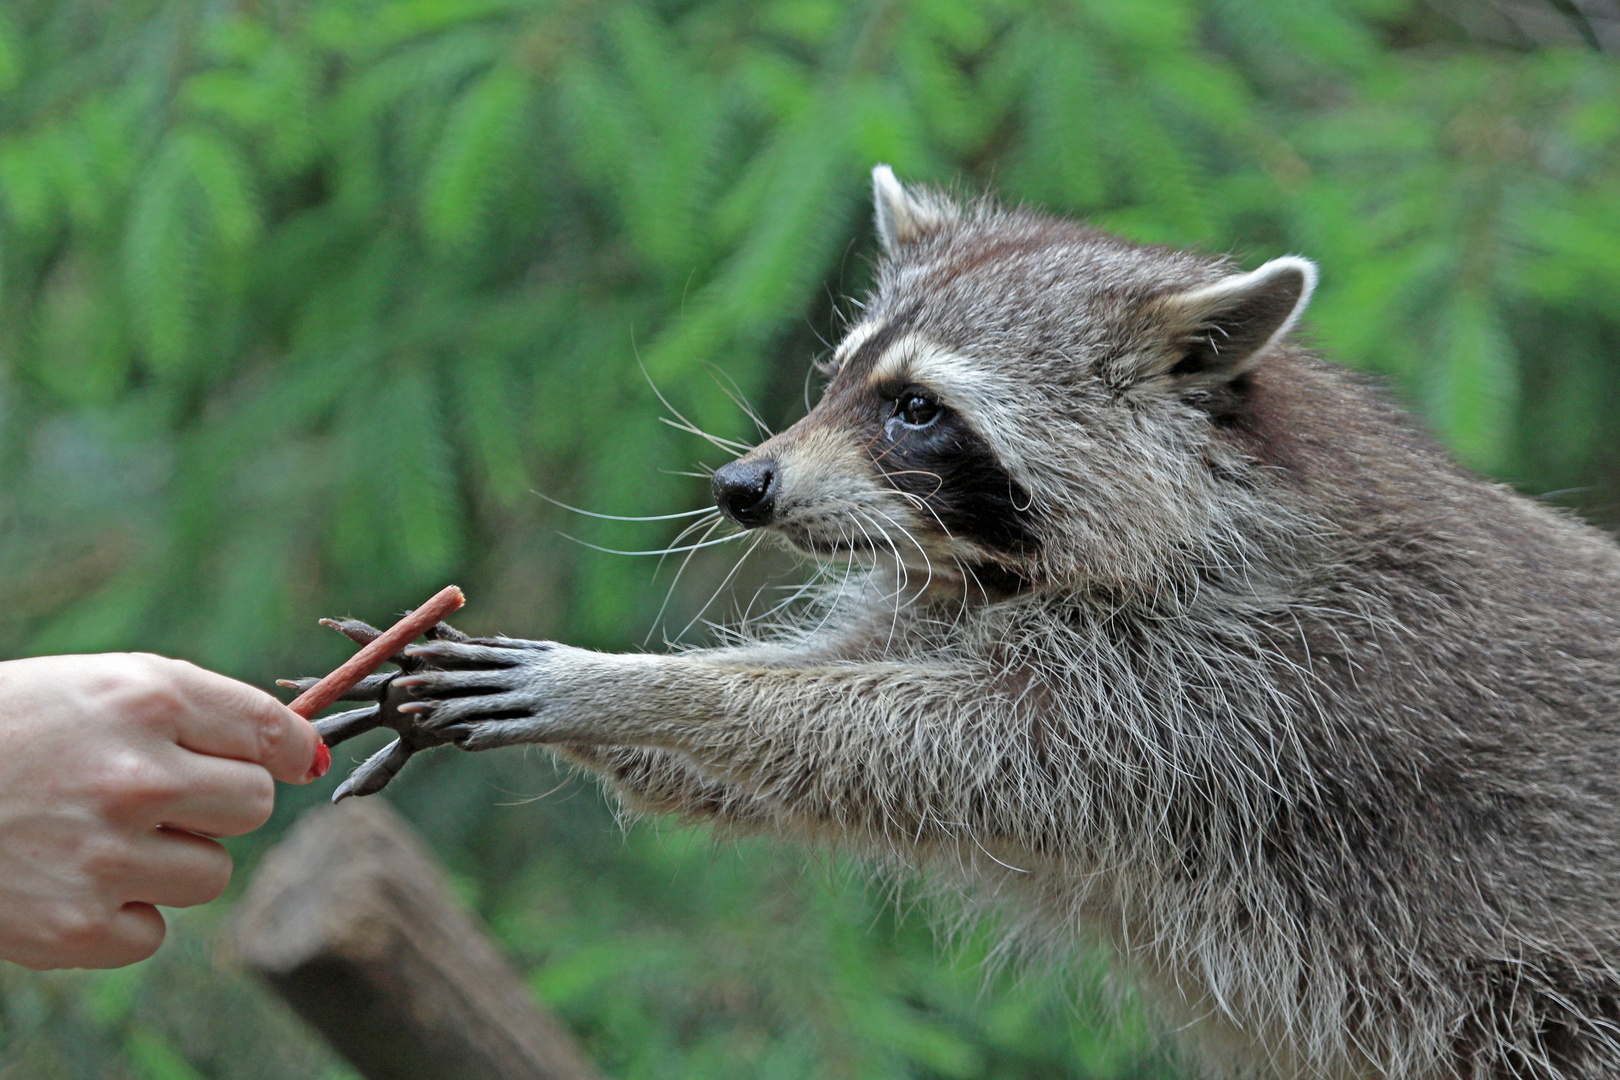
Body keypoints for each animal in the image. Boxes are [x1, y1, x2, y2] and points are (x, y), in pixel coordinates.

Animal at [385, 166, 1620, 1080]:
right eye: (837, 378)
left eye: (916, 409)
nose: (743, 487)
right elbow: (825, 749)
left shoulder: (1242, 680)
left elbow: (954, 746)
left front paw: (637, 688)